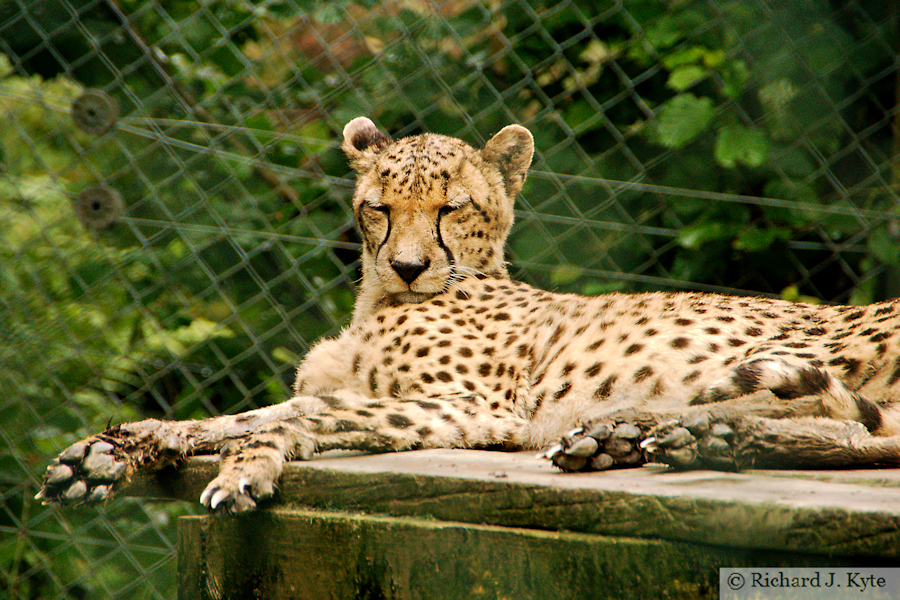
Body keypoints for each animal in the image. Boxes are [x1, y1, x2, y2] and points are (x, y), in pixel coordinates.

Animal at [38, 117, 900, 513]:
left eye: (452, 208)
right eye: (379, 208)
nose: (409, 265)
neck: (380, 299)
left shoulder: (473, 409)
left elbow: (291, 419)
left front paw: (243, 470)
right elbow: (250, 413)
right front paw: (115, 449)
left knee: (867, 429)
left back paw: (700, 433)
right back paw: (643, 436)